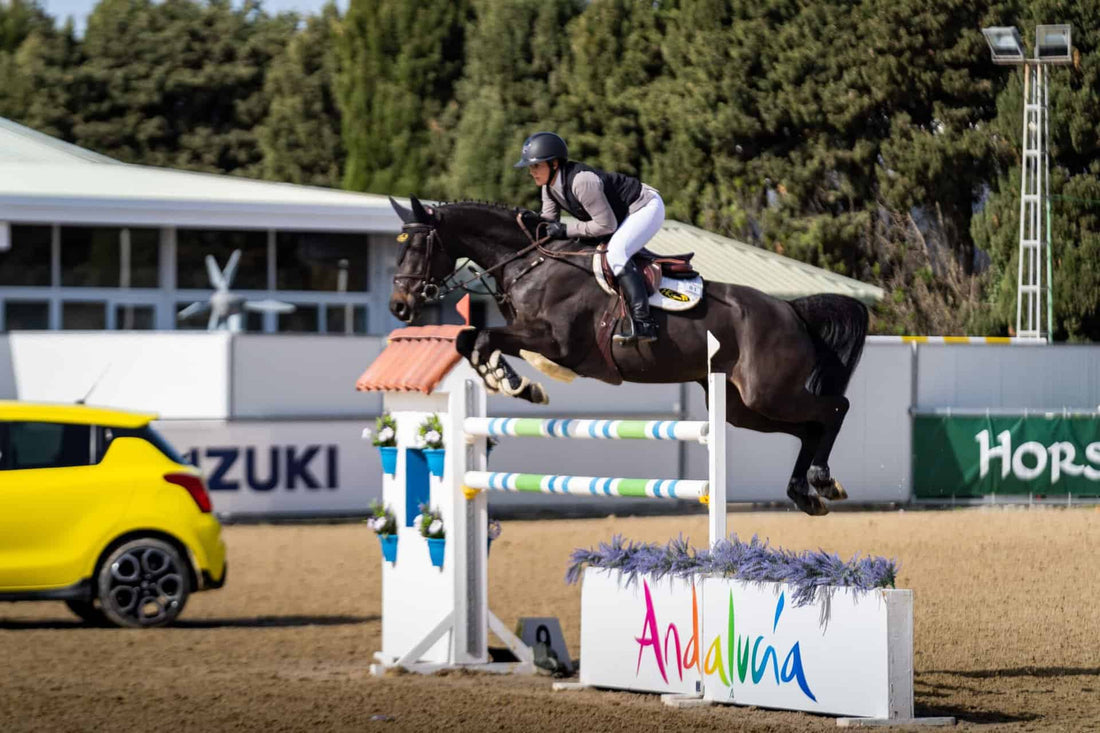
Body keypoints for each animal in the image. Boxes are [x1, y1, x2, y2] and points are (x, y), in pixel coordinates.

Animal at [388, 196, 868, 516]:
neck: (531, 264)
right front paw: (511, 382)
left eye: (418, 247)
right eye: (398, 246)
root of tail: (791, 310)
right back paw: (807, 492)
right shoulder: (528, 335)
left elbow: (484, 337)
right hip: (742, 407)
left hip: (768, 392)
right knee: (808, 427)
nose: (400, 307)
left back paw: (821, 479)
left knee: (835, 408)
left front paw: (517, 383)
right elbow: (469, 340)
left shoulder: (558, 342)